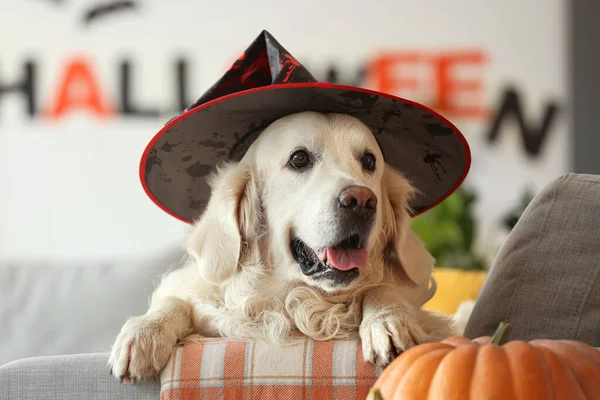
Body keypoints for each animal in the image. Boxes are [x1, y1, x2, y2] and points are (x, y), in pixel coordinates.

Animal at [108, 109, 454, 382]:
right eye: (299, 159)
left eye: (369, 160)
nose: (361, 201)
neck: (300, 302)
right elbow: (178, 300)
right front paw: (144, 332)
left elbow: (381, 289)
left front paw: (389, 321)